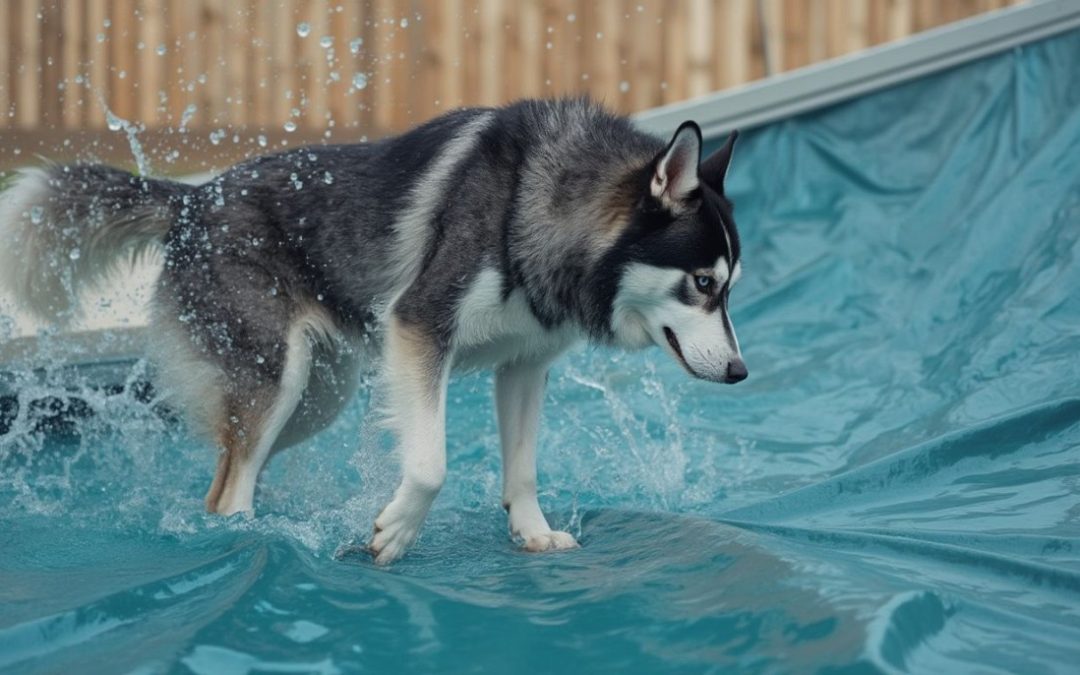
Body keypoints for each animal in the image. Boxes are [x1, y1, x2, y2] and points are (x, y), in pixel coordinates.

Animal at [0, 98, 743, 561]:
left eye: (732, 284)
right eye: (703, 283)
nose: (740, 372)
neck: (538, 201)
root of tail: (193, 197)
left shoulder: (525, 364)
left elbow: (525, 467)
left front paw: (532, 532)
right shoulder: (419, 329)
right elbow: (431, 463)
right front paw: (397, 531)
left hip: (316, 395)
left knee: (232, 469)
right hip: (278, 380)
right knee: (226, 491)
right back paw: (252, 543)